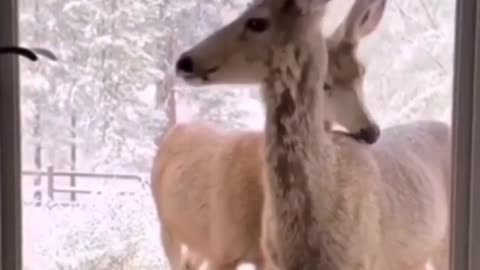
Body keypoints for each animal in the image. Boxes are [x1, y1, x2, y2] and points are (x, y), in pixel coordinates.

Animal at [150, 1, 386, 268]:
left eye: (361, 72)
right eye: (325, 83)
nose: (371, 130)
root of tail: (175, 130)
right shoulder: (225, 246)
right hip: (168, 227)